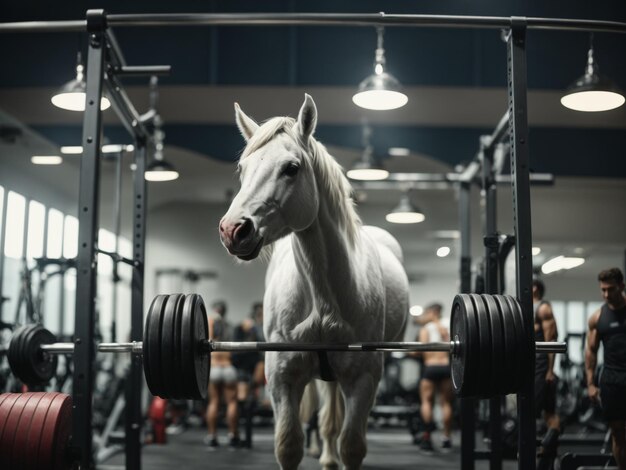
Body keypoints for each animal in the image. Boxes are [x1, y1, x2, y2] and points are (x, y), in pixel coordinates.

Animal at [219, 95, 410, 470]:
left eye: (291, 168)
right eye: (242, 170)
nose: (234, 230)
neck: (322, 298)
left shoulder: (363, 377)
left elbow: (352, 445)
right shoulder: (282, 376)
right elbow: (288, 445)